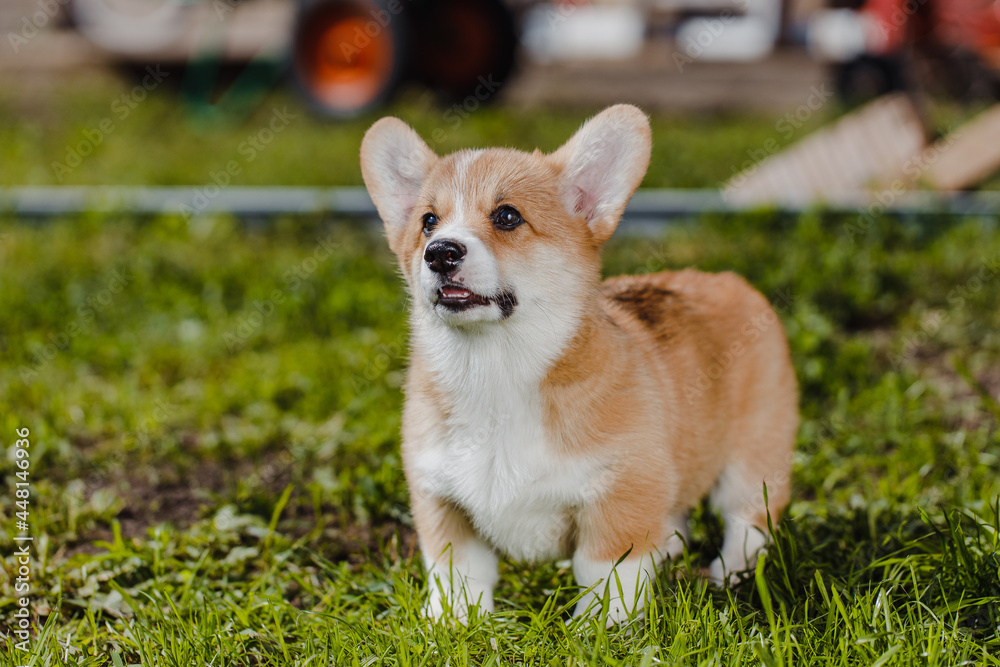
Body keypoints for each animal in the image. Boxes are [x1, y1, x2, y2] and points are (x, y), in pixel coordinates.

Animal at [360, 105, 796, 628]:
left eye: (507, 216)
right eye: (428, 221)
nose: (440, 252)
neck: (496, 369)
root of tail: (732, 281)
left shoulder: (620, 491)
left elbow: (603, 571)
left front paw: (600, 629)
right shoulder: (440, 498)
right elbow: (458, 572)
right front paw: (451, 623)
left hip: (754, 459)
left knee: (747, 521)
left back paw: (730, 570)